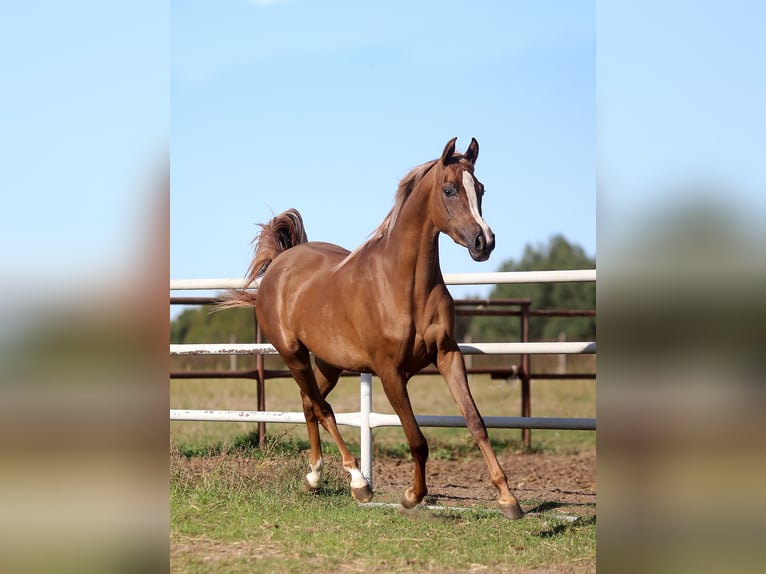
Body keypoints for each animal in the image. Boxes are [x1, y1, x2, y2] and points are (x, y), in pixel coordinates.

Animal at [220, 138, 524, 519]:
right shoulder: (390, 371)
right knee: (322, 407)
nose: (484, 242)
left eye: (481, 189)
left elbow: (475, 422)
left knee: (309, 403)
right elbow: (417, 439)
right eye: (449, 189)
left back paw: (315, 476)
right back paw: (358, 482)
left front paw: (509, 499)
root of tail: (279, 263)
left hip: (329, 364)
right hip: (294, 355)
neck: (403, 285)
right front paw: (412, 495)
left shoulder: (447, 355)